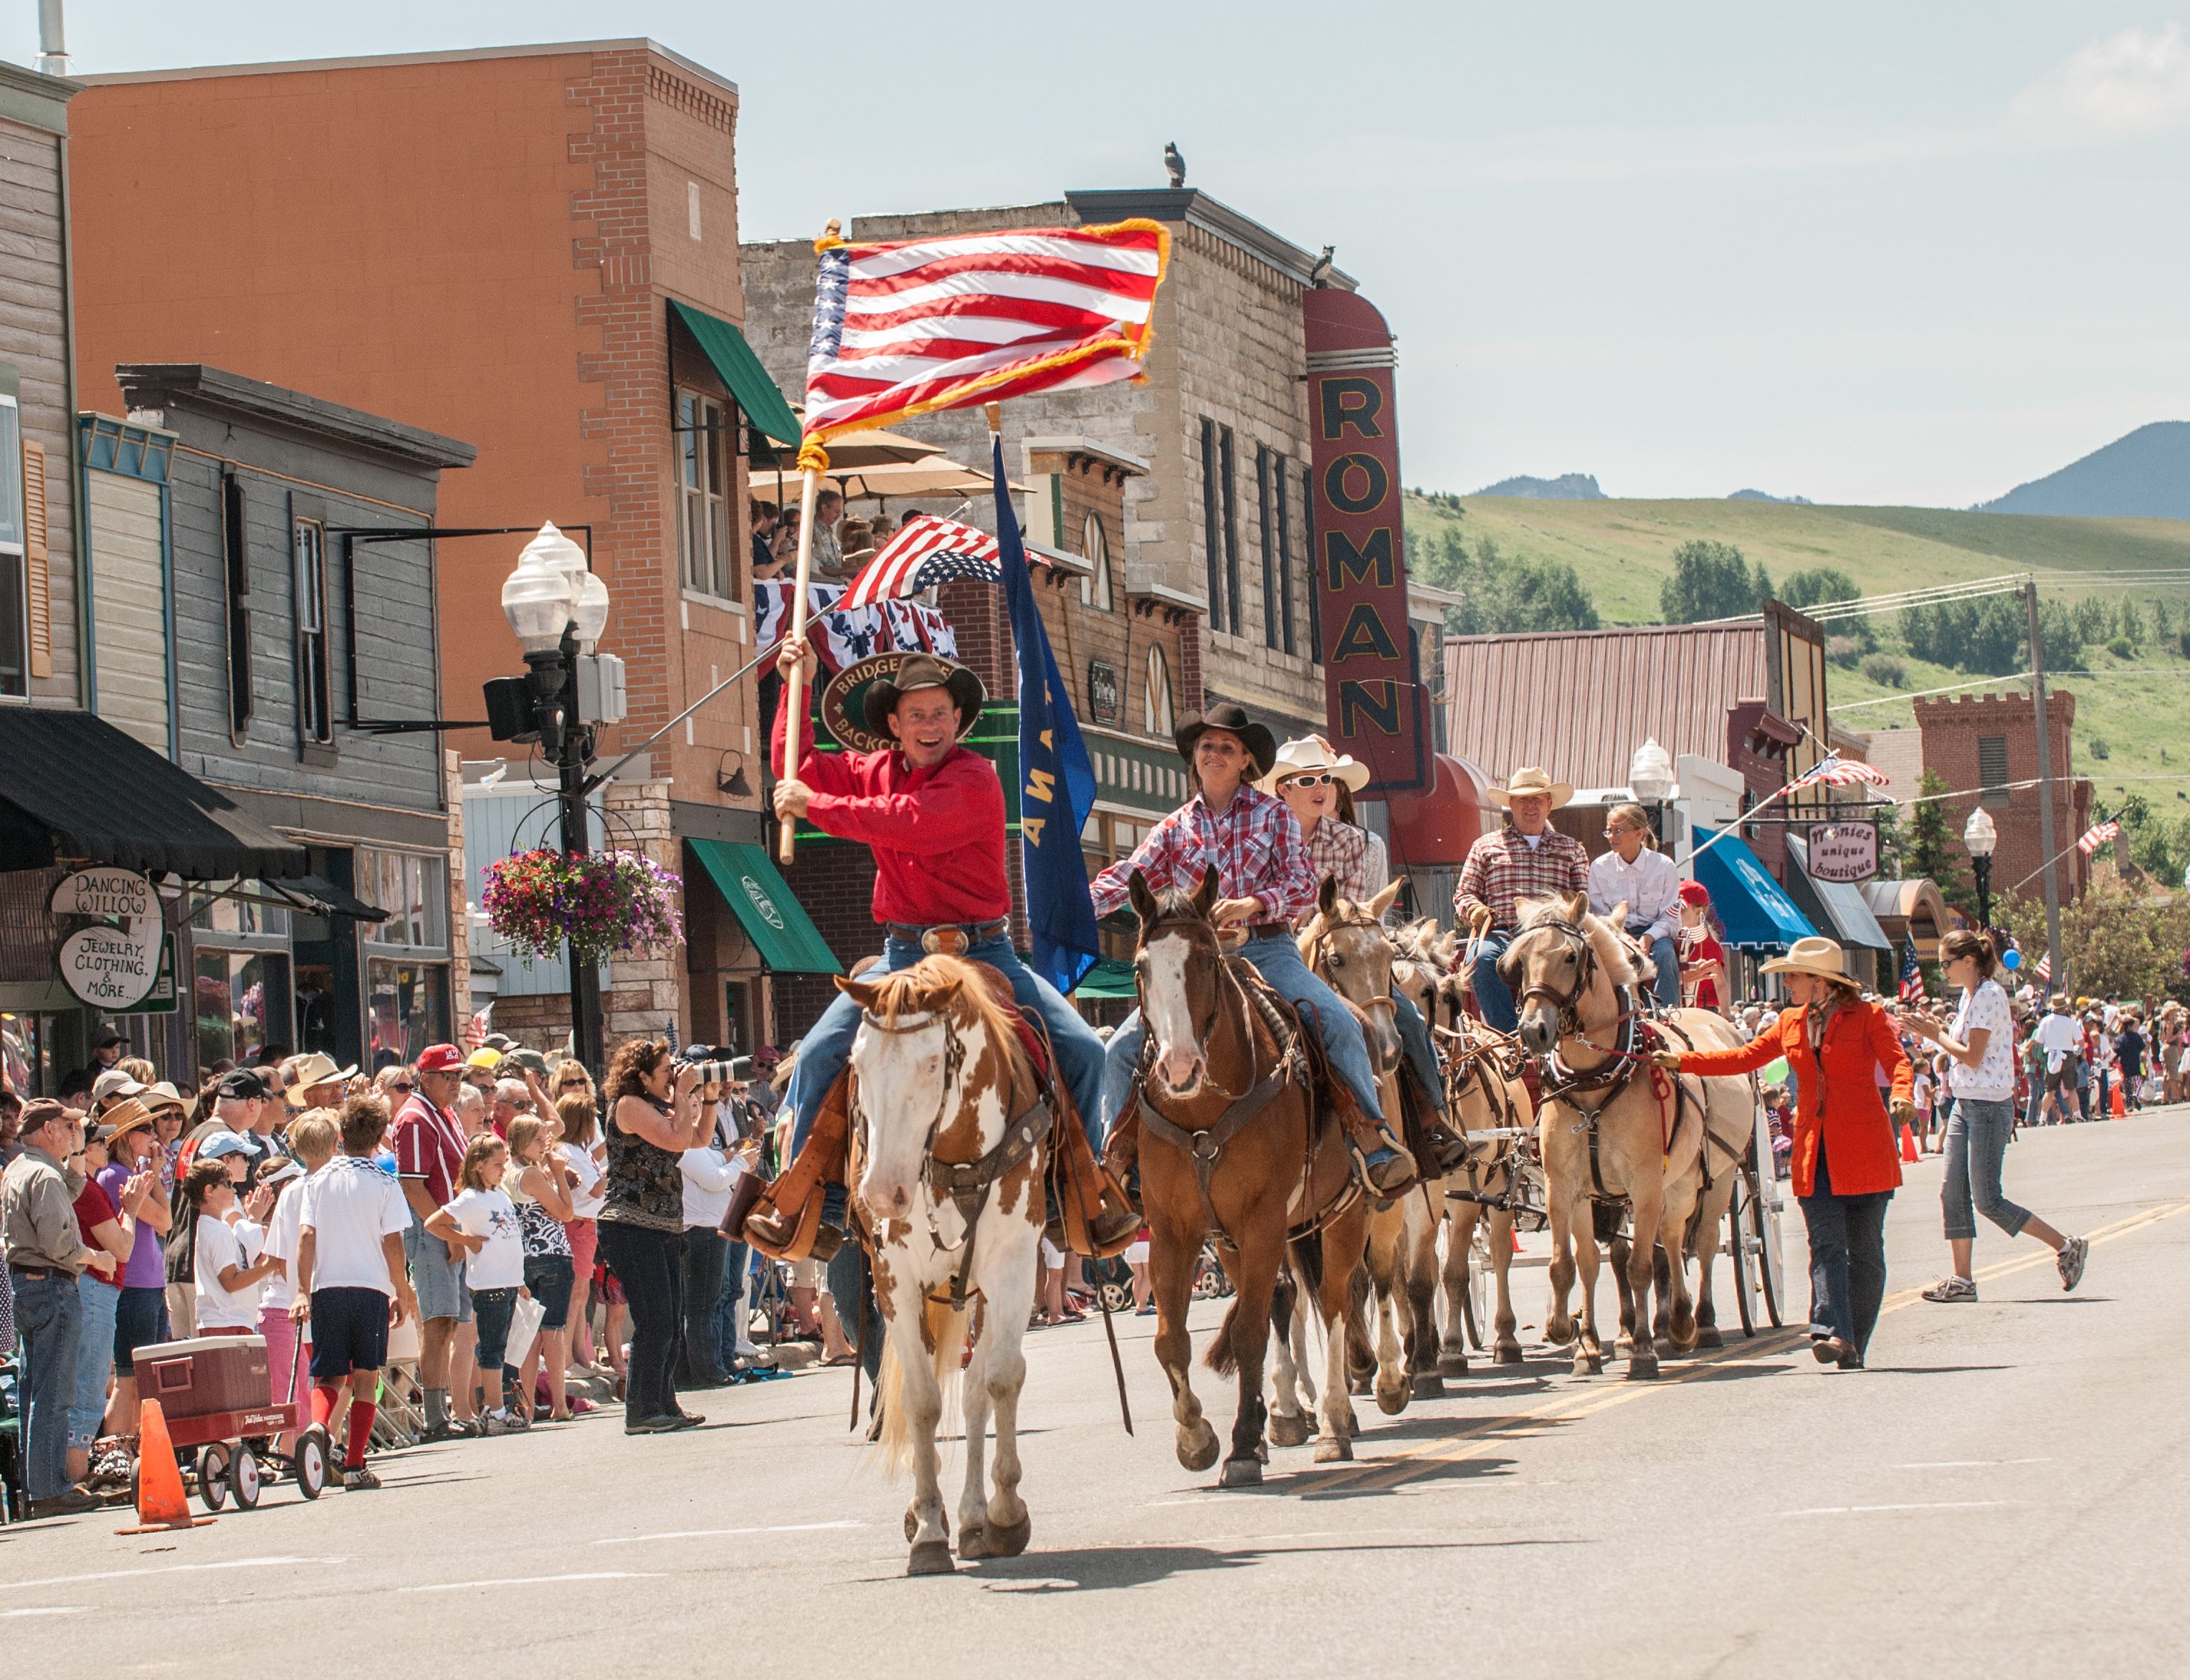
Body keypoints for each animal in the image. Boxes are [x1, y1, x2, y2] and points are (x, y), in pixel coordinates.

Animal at [841, 959, 1047, 1577]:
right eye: (856, 1064)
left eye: (931, 1064)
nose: (882, 1194)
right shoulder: (895, 1283)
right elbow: (922, 1401)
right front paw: (929, 1530)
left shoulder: (1012, 1269)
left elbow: (998, 1380)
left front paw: (1004, 1515)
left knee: (977, 1389)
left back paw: (977, 1519)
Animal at [1130, 876, 1366, 1480]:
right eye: (1141, 966)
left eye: (1207, 961)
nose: (1179, 1067)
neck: (1202, 1112)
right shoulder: (1174, 1231)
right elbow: (1169, 1340)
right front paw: (1197, 1438)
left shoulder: (1263, 1222)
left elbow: (1250, 1331)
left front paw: (1238, 1445)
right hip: (1242, 1238)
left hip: (1343, 1213)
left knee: (1335, 1301)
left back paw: (1334, 1422)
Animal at [1498, 893, 1752, 1384]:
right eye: (1514, 964)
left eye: (1571, 957)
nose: (1534, 1031)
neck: (1593, 1079)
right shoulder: (1567, 1187)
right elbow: (1574, 1264)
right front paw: (1576, 1337)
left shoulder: (1644, 1182)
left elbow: (1638, 1267)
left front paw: (1643, 1350)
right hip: (1676, 1182)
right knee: (1671, 1238)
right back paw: (1676, 1322)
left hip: (1716, 1175)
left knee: (1702, 1242)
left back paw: (1700, 1323)